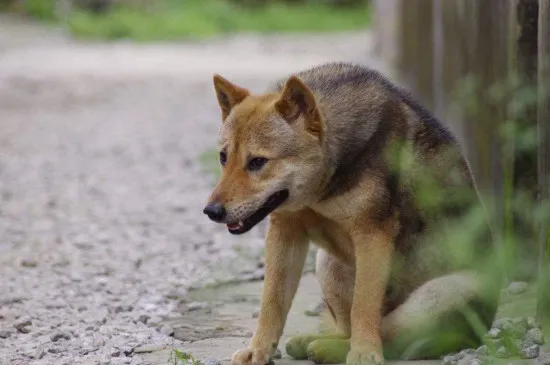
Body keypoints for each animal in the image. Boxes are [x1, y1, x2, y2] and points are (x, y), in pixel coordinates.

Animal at [204, 62, 504, 364]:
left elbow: (364, 305)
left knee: (394, 338)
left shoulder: (372, 234)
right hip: (328, 263)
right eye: (223, 157)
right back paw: (315, 342)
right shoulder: (285, 231)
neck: (320, 190)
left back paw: (331, 348)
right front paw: (258, 350)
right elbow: (272, 301)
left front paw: (364, 353)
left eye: (257, 162)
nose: (211, 211)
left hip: (445, 292)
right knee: (350, 327)